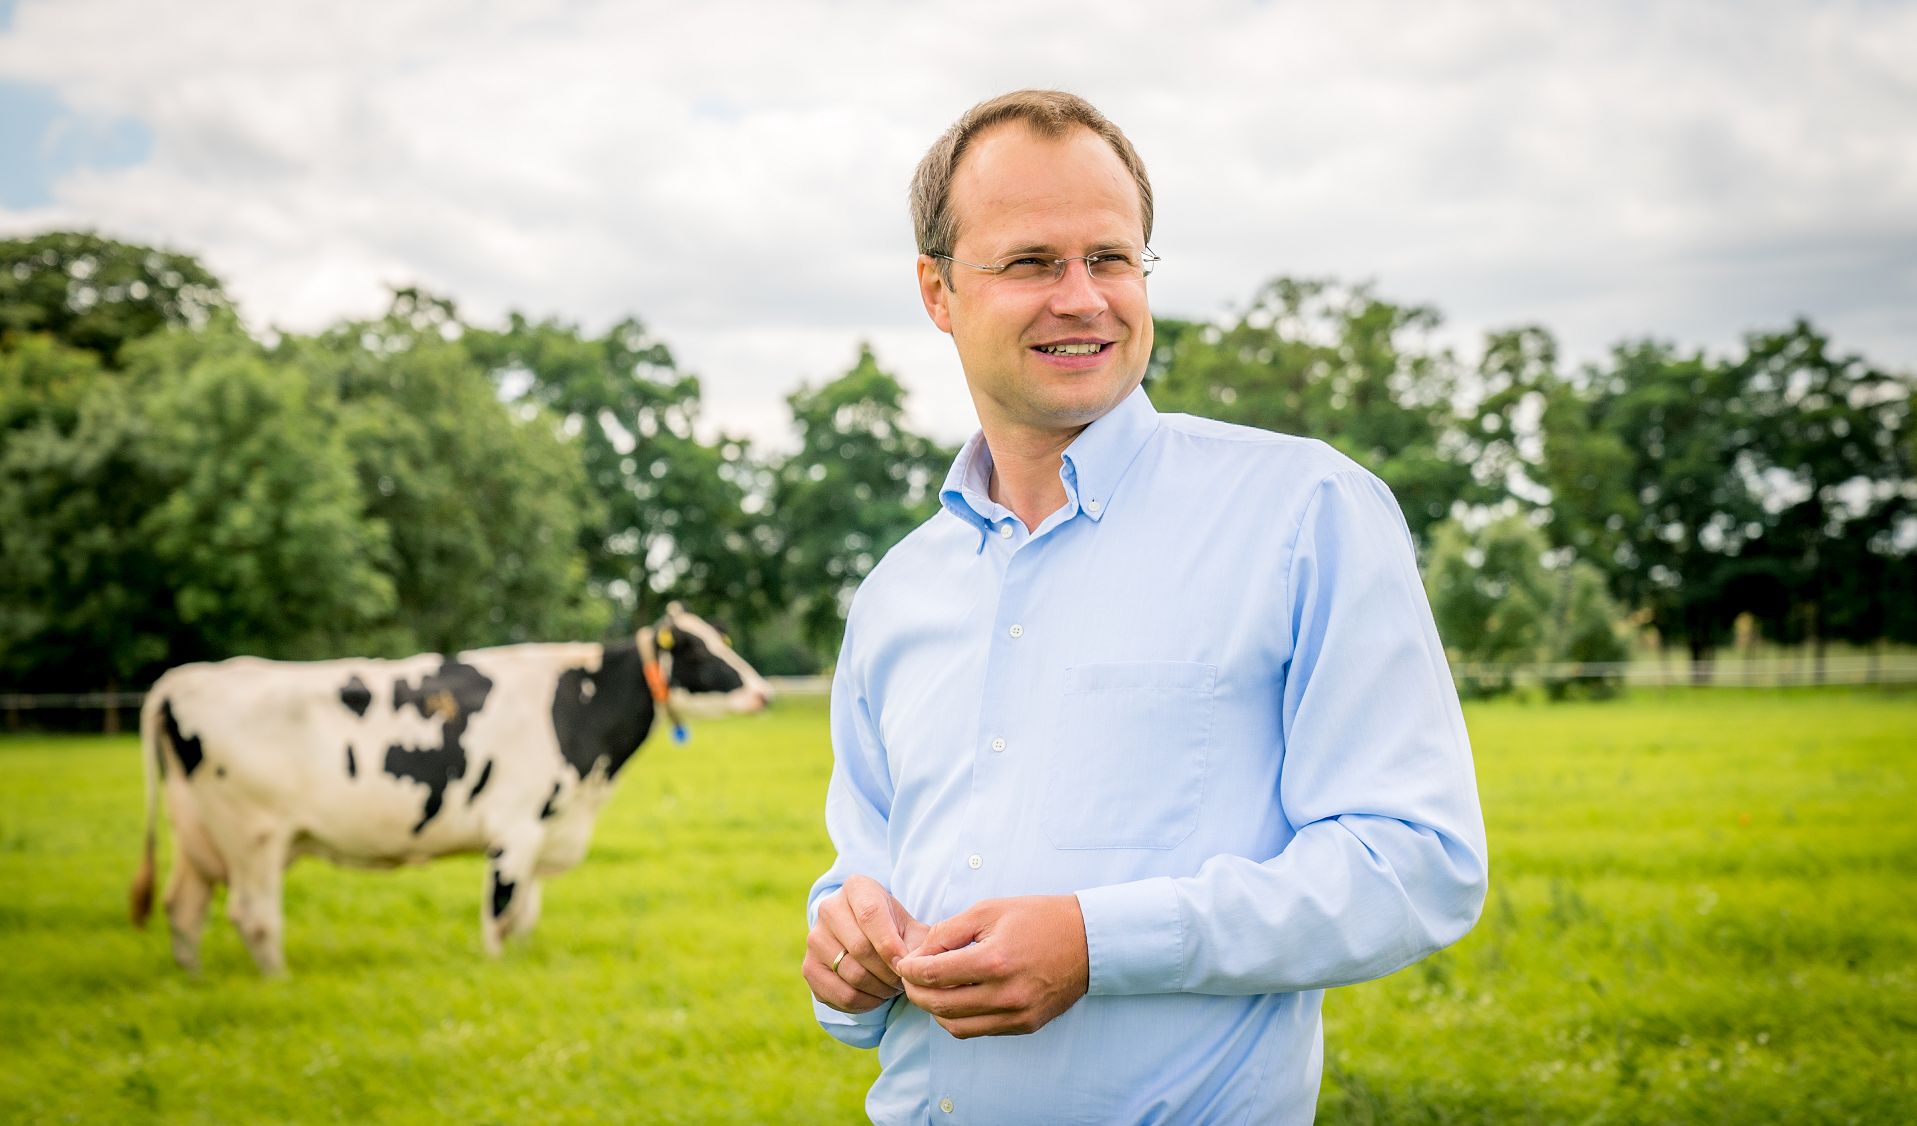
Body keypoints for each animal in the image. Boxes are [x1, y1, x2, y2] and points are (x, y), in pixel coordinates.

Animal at [128, 603, 772, 974]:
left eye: (721, 639)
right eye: (696, 649)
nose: (764, 692)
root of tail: (186, 677)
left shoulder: (542, 831)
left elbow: (526, 915)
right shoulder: (514, 829)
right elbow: (500, 912)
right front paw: (496, 972)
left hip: (200, 836)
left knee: (183, 909)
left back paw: (194, 980)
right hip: (253, 836)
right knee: (254, 916)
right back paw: (278, 983)